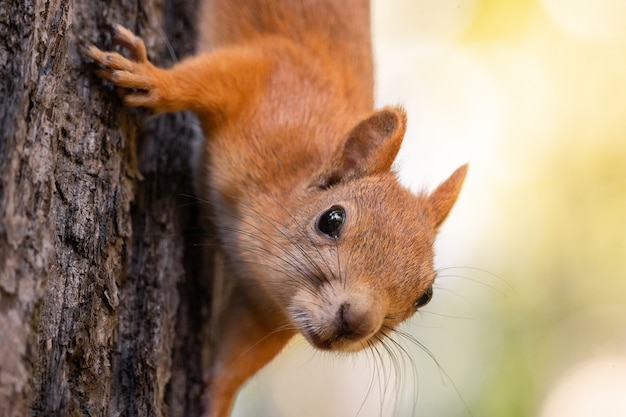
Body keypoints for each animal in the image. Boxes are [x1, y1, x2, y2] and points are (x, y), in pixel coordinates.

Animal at [86, 0, 468, 416]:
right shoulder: (269, 80)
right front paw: (149, 77)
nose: (356, 322)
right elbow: (208, 78)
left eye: (425, 296)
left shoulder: (264, 308)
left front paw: (216, 399)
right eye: (331, 219)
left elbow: (239, 358)